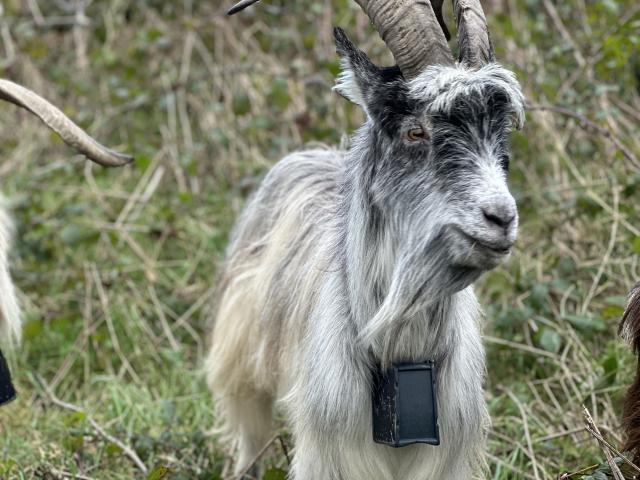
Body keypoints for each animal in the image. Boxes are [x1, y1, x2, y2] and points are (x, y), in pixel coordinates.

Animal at [207, 1, 524, 478]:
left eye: (500, 135)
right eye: (415, 130)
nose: (501, 218)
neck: (400, 355)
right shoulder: (329, 453)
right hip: (243, 365)